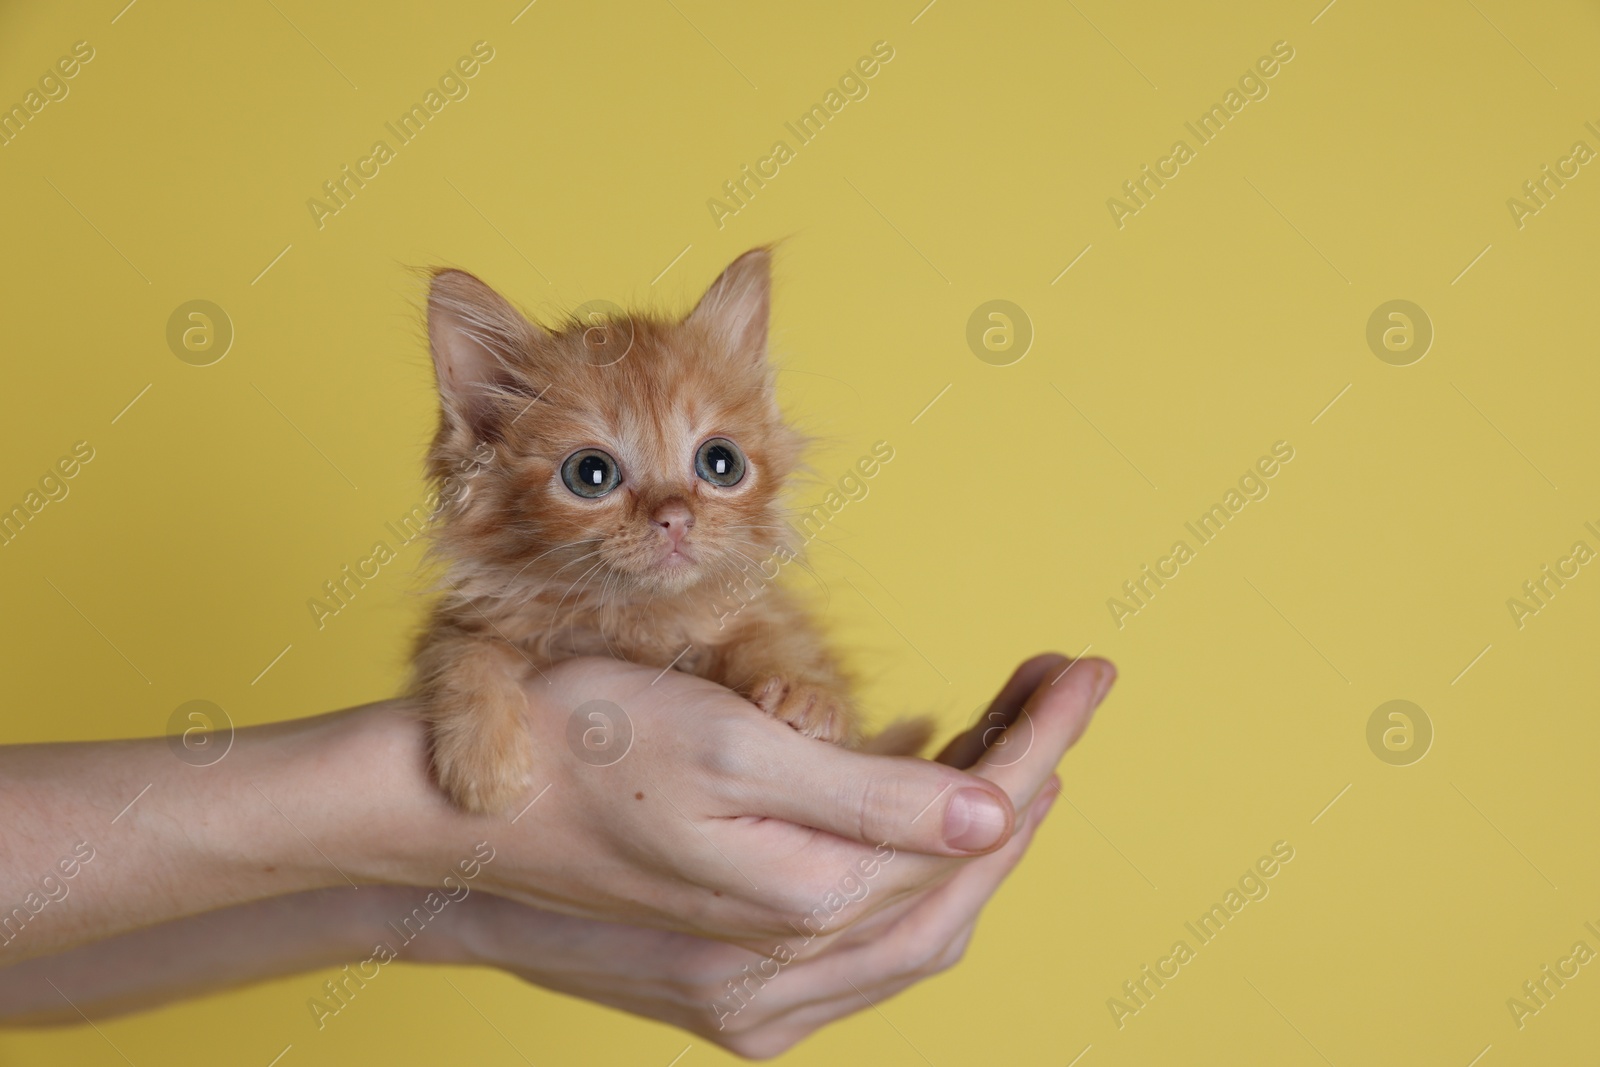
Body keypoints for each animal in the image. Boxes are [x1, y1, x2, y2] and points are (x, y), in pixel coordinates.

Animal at [412, 251, 896, 812]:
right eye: (591, 473)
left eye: (721, 462)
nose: (675, 518)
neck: (636, 618)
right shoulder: (477, 615)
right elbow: (464, 650)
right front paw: (483, 758)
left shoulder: (751, 610)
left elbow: (777, 633)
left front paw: (808, 689)